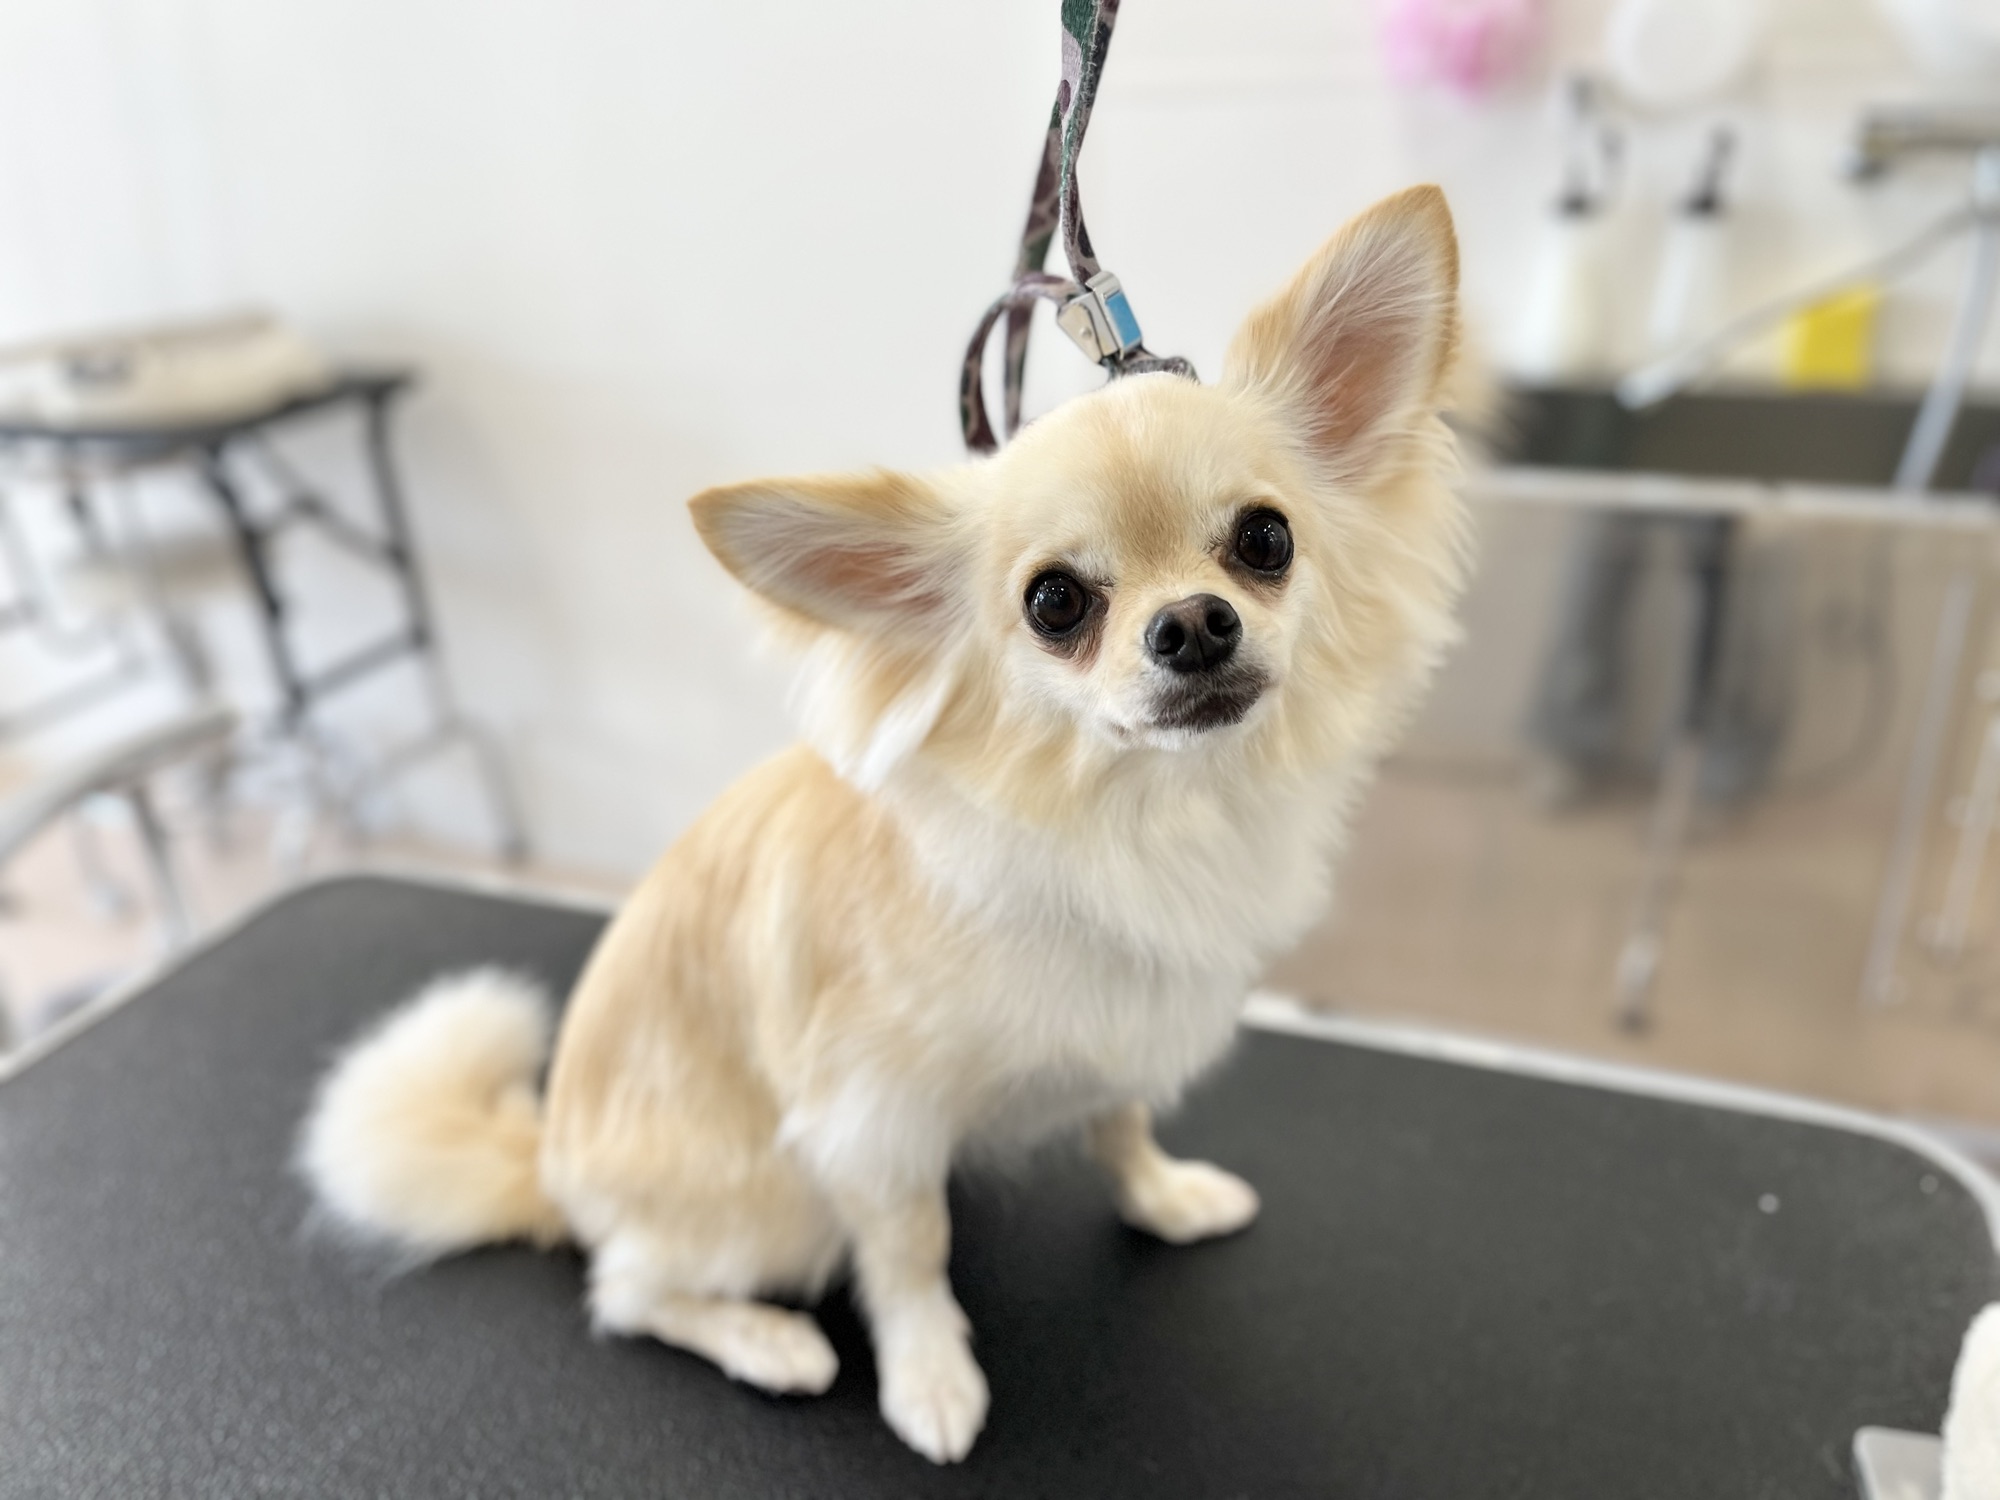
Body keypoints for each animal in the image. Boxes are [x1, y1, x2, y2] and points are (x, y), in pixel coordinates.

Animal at [299, 184, 1468, 1465]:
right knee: (628, 1290)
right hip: (770, 1207)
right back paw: (766, 1340)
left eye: (1264, 541)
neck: (1140, 814)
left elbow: (1117, 1122)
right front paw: (930, 1380)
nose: (1195, 625)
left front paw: (1161, 1196)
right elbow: (909, 1254)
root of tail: (552, 1167)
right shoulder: (871, 1118)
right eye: (1054, 604)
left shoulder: (1115, 1027)